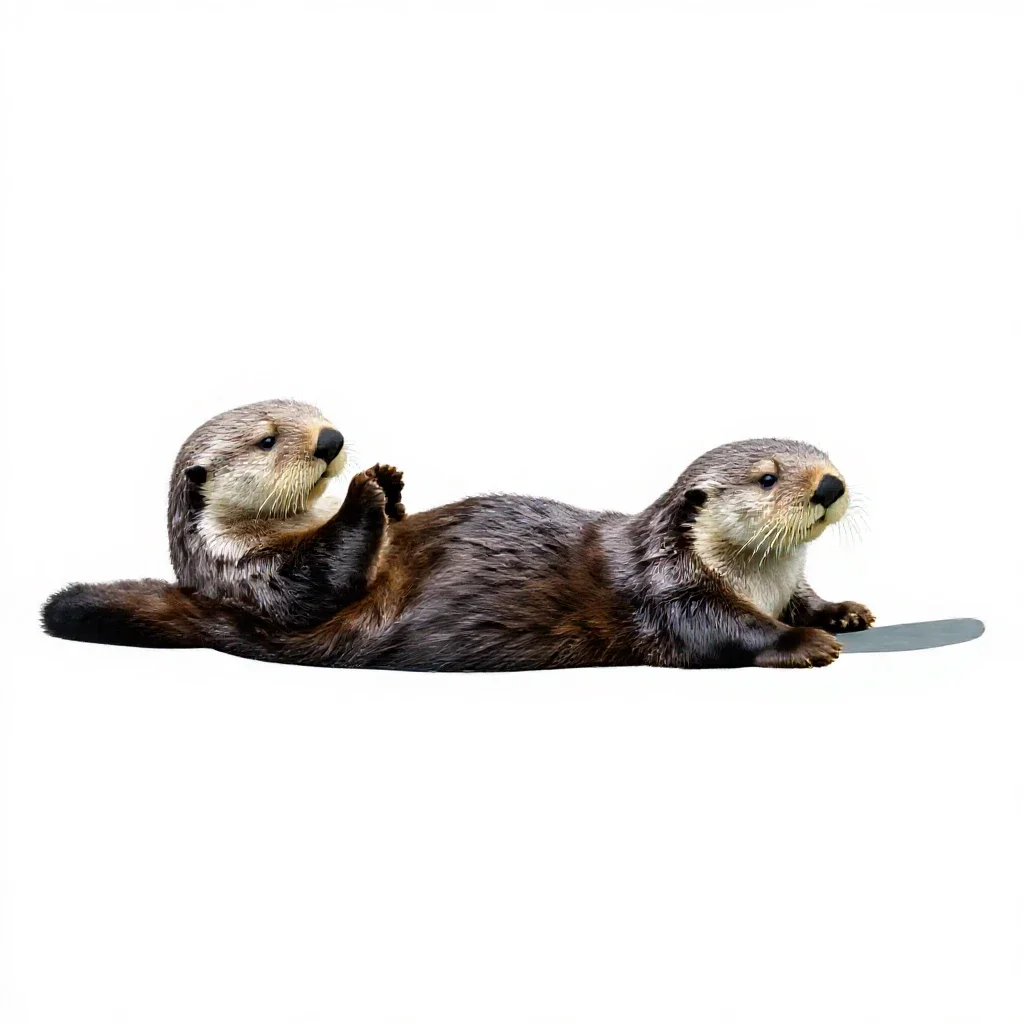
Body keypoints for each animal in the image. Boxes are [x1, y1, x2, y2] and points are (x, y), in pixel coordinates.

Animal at [43, 437, 872, 669]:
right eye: (768, 477)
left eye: (825, 455)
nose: (831, 484)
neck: (760, 579)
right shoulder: (669, 587)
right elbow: (721, 627)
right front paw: (802, 641)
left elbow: (808, 597)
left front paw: (841, 611)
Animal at [158, 399, 403, 628]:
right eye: (267, 441)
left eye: (315, 413)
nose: (331, 440)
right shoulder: (245, 573)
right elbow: (315, 582)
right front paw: (362, 495)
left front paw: (387, 479)